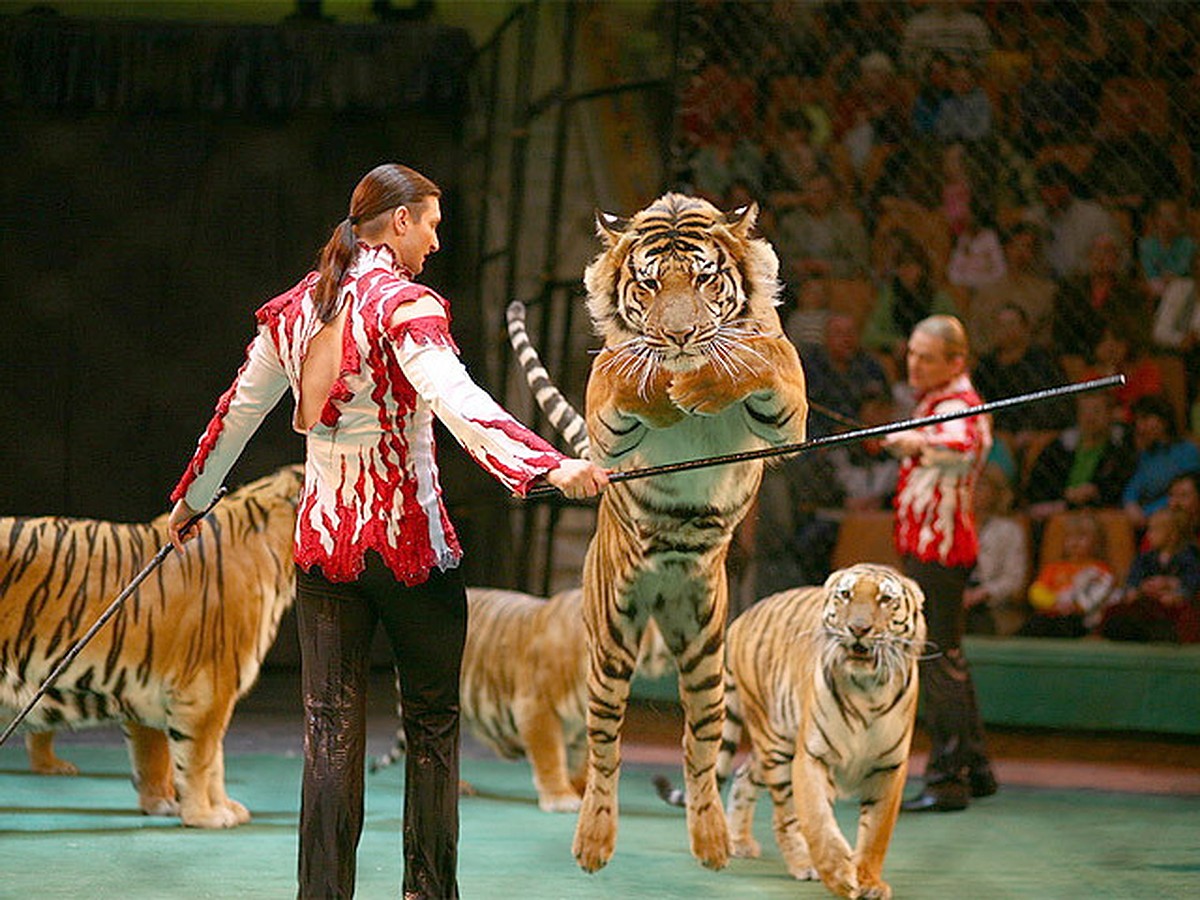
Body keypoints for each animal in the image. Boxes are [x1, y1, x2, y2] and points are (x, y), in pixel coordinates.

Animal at [1, 472, 300, 830]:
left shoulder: (149, 692)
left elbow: (173, 757)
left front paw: (184, 804)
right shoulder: (208, 688)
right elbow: (201, 759)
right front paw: (205, 815)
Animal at [372, 588, 676, 816]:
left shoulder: (582, 721)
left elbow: (582, 758)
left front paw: (581, 790)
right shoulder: (536, 708)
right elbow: (550, 756)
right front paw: (562, 798)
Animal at [513, 192, 806, 873]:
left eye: (703, 278)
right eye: (648, 283)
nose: (679, 335)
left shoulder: (789, 414)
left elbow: (756, 359)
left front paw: (698, 382)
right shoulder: (605, 420)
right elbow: (623, 372)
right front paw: (660, 384)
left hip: (705, 650)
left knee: (699, 749)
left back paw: (713, 839)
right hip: (610, 643)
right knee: (603, 749)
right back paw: (593, 839)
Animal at [657, 566, 926, 897]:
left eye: (886, 599)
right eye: (846, 594)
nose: (858, 628)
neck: (868, 689)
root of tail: (741, 618)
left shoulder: (889, 768)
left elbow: (877, 834)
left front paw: (869, 882)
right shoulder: (812, 756)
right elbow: (817, 819)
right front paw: (838, 874)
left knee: (744, 775)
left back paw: (739, 841)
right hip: (776, 744)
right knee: (785, 815)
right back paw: (802, 864)